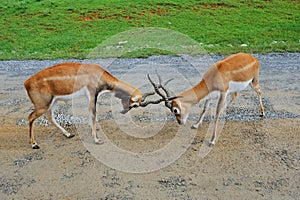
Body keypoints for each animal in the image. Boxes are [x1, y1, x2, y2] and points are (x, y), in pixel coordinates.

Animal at [24, 62, 159, 148]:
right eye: (135, 105)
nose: (124, 111)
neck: (98, 74)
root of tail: (27, 83)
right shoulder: (92, 93)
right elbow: (93, 114)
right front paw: (97, 140)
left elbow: (91, 116)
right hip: (42, 105)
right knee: (30, 117)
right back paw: (34, 144)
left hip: (53, 102)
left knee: (49, 116)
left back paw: (68, 134)